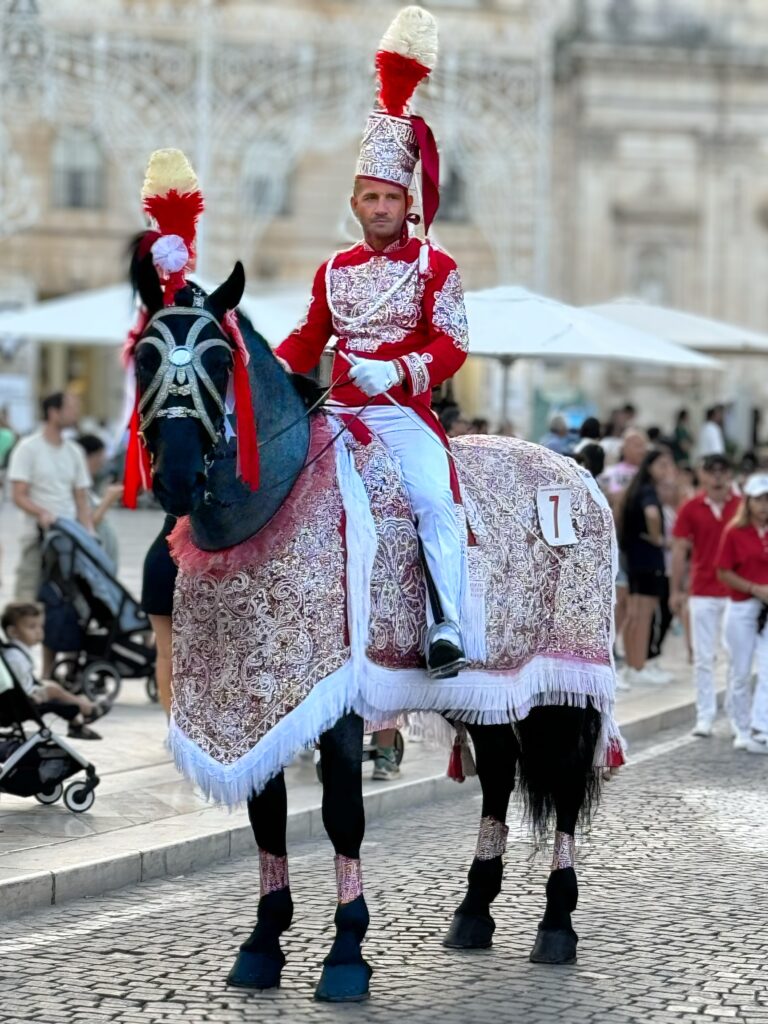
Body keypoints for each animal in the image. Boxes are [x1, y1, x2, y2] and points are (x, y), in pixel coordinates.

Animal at [132, 251, 610, 1003]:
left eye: (218, 357)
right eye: (143, 355)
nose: (176, 475)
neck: (277, 503)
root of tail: (577, 471)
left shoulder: (337, 701)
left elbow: (342, 815)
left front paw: (347, 954)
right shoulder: (262, 704)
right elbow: (268, 814)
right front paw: (262, 944)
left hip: (567, 679)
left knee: (561, 783)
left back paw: (556, 925)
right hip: (487, 683)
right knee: (499, 775)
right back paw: (473, 912)